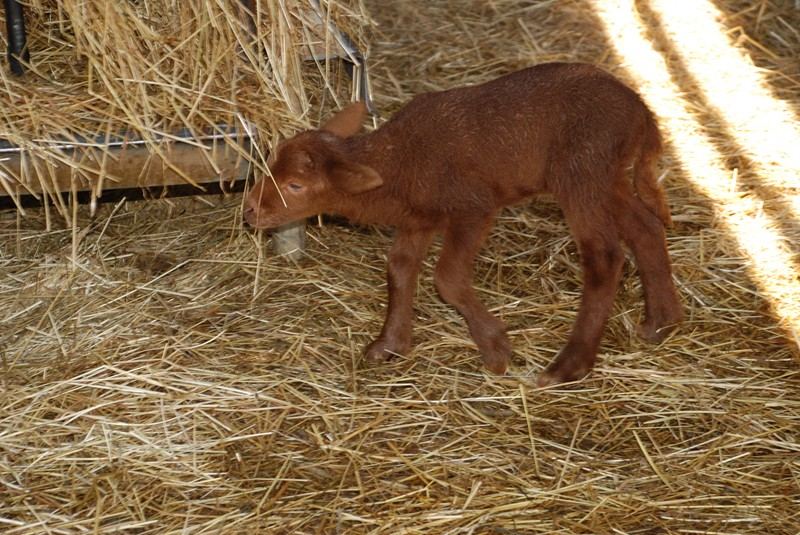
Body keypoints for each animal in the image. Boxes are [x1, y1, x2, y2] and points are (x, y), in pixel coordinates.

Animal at [242, 62, 680, 386]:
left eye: (296, 185)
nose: (249, 212)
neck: (398, 163)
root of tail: (642, 111)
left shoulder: (472, 207)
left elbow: (448, 278)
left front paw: (496, 348)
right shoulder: (418, 219)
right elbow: (399, 269)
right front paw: (390, 344)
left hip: (581, 172)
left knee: (604, 256)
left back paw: (568, 367)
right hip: (607, 176)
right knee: (644, 226)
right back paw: (661, 322)